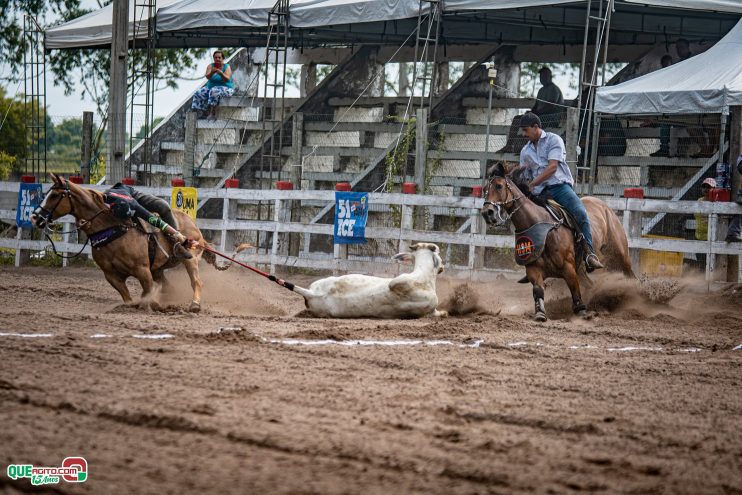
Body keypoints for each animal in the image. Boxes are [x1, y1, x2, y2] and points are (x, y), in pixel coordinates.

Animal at [29, 174, 227, 312]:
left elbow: (147, 292)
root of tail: (194, 226)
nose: (35, 218)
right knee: (168, 286)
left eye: (55, 195)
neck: (113, 228)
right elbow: (129, 298)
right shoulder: (112, 275)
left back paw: (194, 304)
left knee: (196, 282)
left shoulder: (142, 270)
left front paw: (152, 305)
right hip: (158, 269)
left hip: (190, 260)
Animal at [486, 165, 636, 324]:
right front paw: (540, 313)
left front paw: (581, 310)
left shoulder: (568, 267)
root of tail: (602, 204)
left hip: (619, 252)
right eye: (485, 189)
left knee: (629, 273)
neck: (543, 228)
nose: (487, 212)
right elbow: (538, 290)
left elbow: (574, 288)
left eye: (499, 186)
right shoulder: (534, 269)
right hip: (582, 269)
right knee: (591, 285)